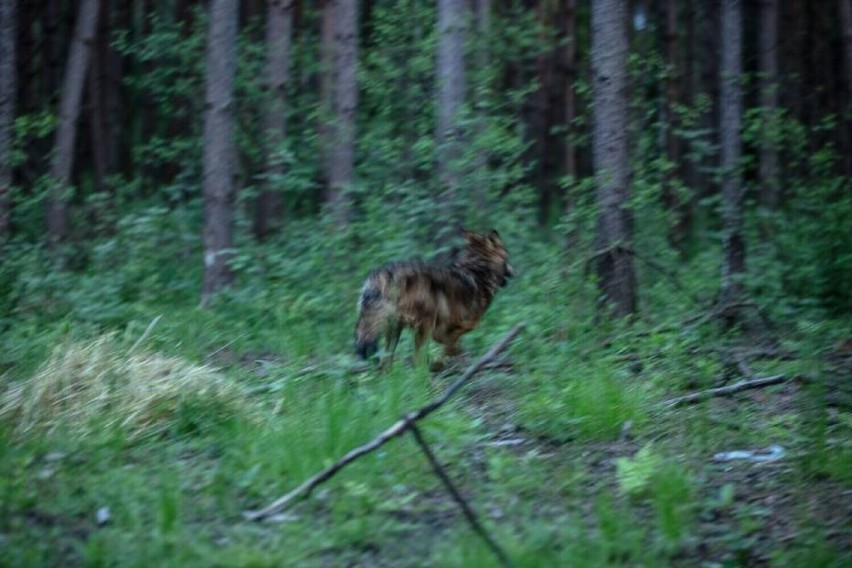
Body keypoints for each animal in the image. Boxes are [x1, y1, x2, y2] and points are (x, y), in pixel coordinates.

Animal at [352, 227, 512, 368]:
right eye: (507, 257)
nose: (513, 270)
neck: (478, 270)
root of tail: (383, 275)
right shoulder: (454, 328)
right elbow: (452, 348)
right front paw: (443, 364)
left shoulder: (443, 331)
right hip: (424, 324)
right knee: (417, 359)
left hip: (394, 329)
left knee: (385, 361)